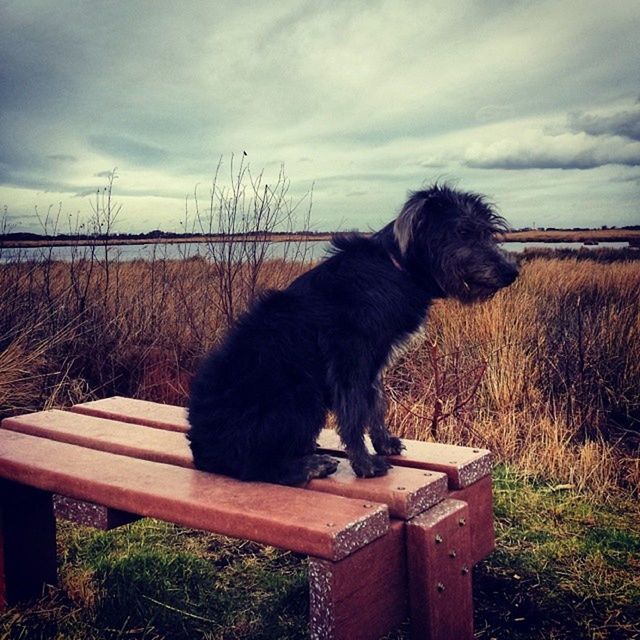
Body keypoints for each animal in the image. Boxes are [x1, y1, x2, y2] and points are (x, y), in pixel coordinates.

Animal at [188, 185, 516, 484]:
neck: (395, 268)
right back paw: (308, 466)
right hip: (299, 394)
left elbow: (376, 404)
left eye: (487, 231)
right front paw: (365, 464)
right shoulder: (349, 357)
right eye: (463, 231)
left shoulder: (374, 361)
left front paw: (384, 443)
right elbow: (354, 412)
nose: (511, 272)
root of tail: (201, 451)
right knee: (255, 467)